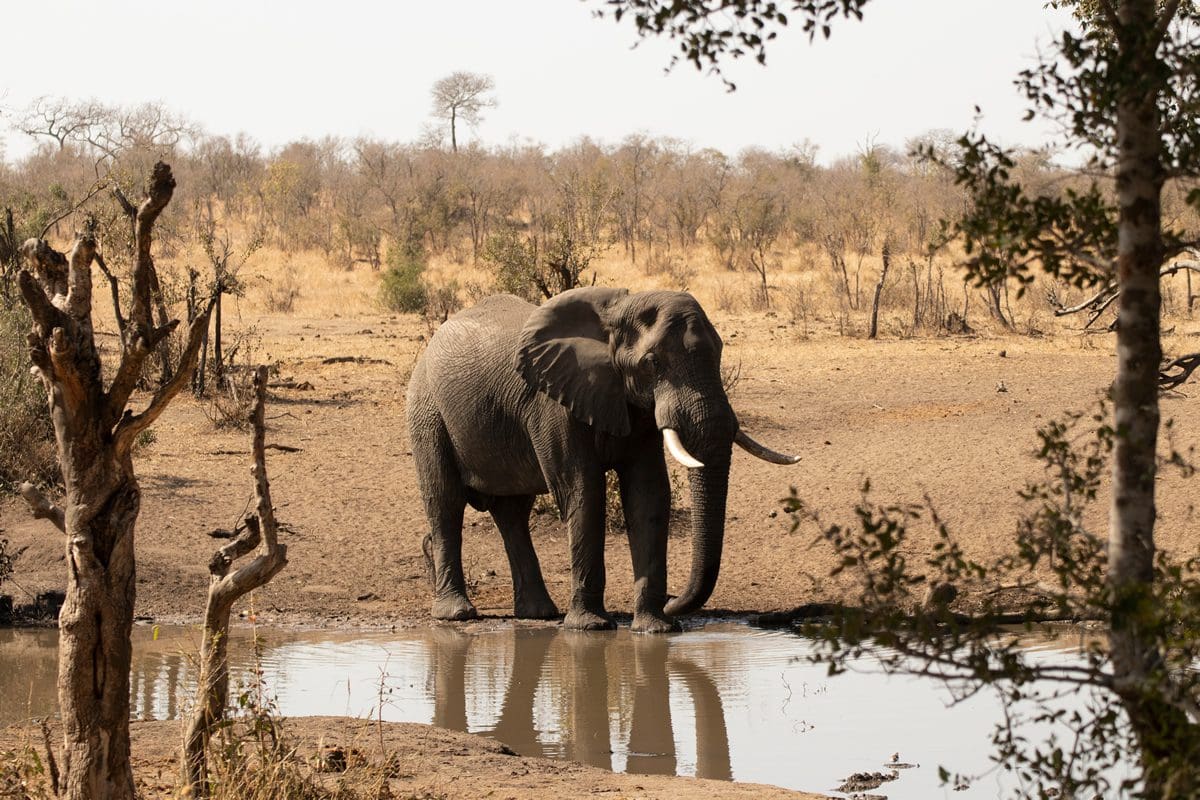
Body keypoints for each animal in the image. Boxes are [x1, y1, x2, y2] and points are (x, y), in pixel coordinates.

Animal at [406, 287, 798, 633]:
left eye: (718, 354)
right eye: (652, 364)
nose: (673, 600)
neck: (615, 314)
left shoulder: (636, 407)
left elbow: (648, 494)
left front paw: (655, 629)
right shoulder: (554, 403)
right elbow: (582, 491)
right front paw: (591, 627)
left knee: (512, 513)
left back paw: (539, 613)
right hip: (426, 410)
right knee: (445, 503)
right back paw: (457, 614)